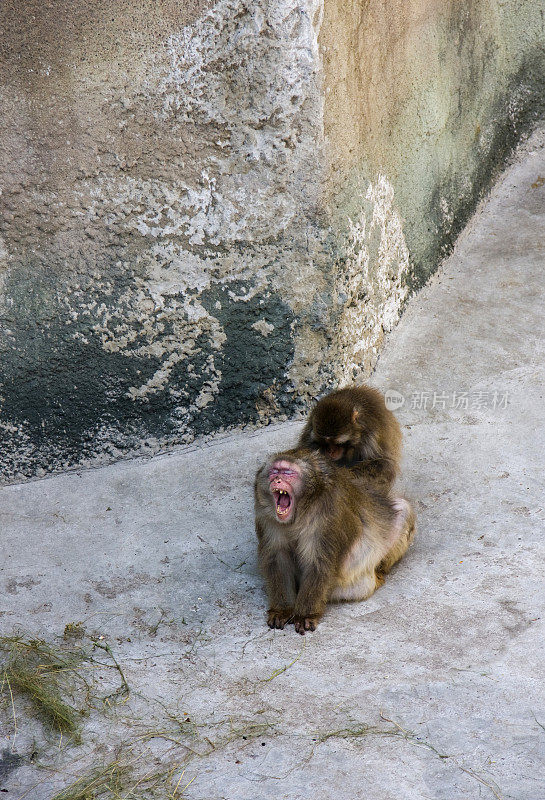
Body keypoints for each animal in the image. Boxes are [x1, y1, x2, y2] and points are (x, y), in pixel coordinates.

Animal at [253, 446, 414, 636]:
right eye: (274, 472)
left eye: (287, 472)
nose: (277, 480)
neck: (299, 513)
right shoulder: (267, 519)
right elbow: (278, 560)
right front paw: (282, 610)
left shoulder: (328, 516)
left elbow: (319, 563)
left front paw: (305, 614)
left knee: (403, 509)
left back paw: (379, 573)